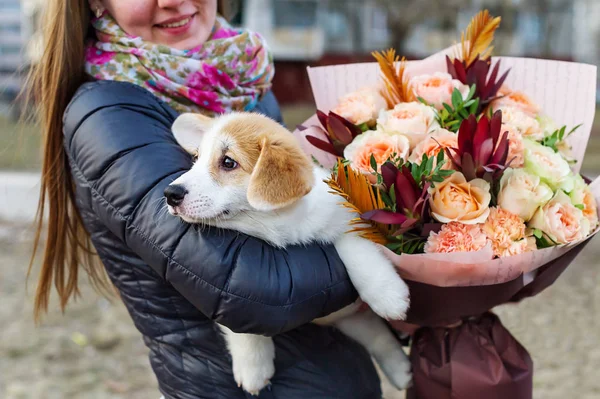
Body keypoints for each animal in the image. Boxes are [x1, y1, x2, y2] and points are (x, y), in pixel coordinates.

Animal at [164, 111, 412, 396]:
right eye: (196, 158)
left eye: (228, 162)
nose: (170, 193)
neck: (274, 226)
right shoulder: (237, 292)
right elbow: (243, 326)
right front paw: (253, 368)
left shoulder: (347, 215)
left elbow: (352, 246)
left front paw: (387, 294)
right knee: (376, 335)